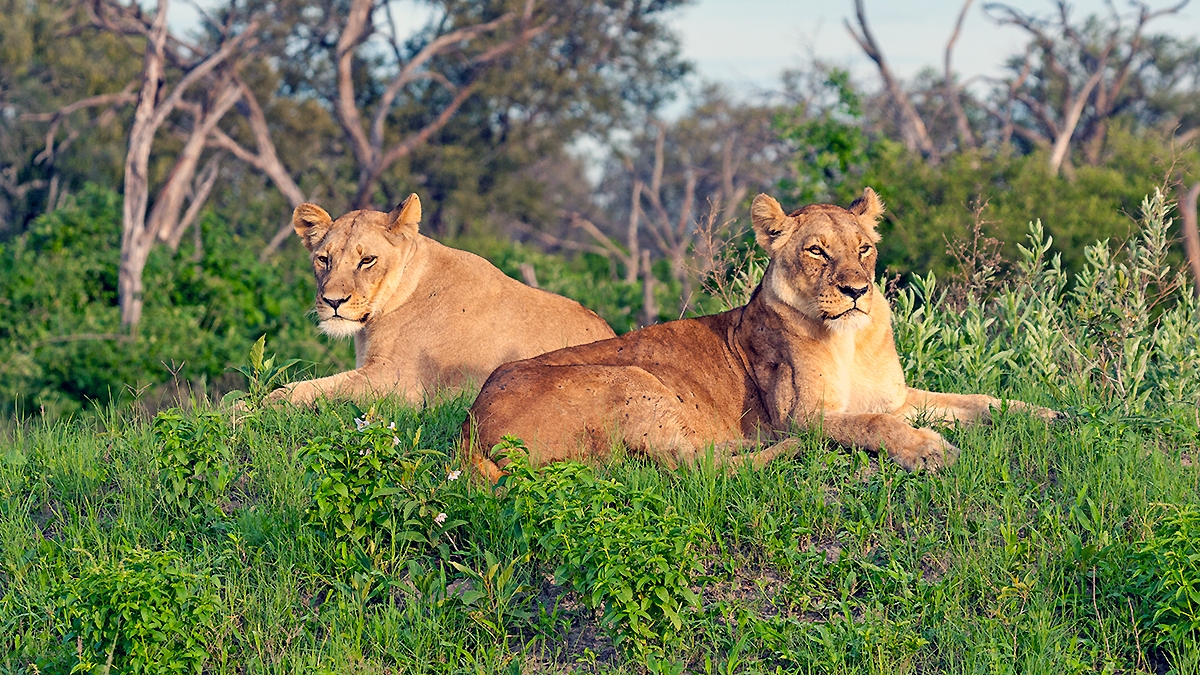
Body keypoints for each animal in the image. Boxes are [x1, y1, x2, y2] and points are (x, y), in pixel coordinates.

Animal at [268, 194, 615, 406]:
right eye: (323, 259)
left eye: (367, 260)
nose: (333, 301)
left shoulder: (399, 382)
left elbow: (317, 388)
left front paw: (262, 404)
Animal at [464, 188, 1057, 481]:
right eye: (817, 251)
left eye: (864, 248)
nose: (856, 290)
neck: (851, 340)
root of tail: (470, 426)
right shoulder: (805, 414)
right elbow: (873, 425)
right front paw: (928, 450)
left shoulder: (898, 396)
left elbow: (975, 400)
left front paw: (1046, 415)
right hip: (633, 379)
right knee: (693, 469)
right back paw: (787, 451)